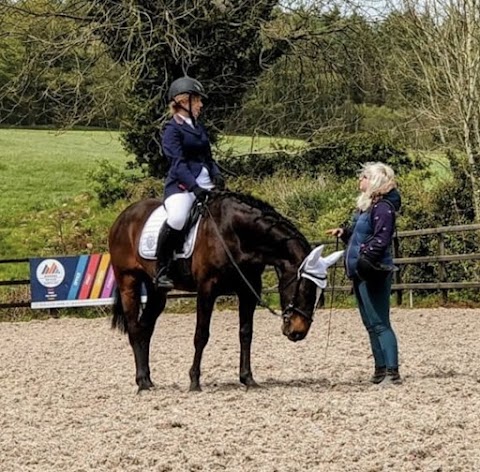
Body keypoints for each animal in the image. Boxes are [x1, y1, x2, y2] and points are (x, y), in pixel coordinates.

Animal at [108, 190, 318, 392]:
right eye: (304, 287)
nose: (299, 331)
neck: (235, 234)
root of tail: (123, 216)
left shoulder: (248, 290)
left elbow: (246, 333)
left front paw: (247, 379)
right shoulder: (206, 289)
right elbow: (201, 334)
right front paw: (194, 382)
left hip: (156, 291)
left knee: (146, 328)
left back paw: (148, 380)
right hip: (128, 281)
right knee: (134, 328)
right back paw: (142, 383)